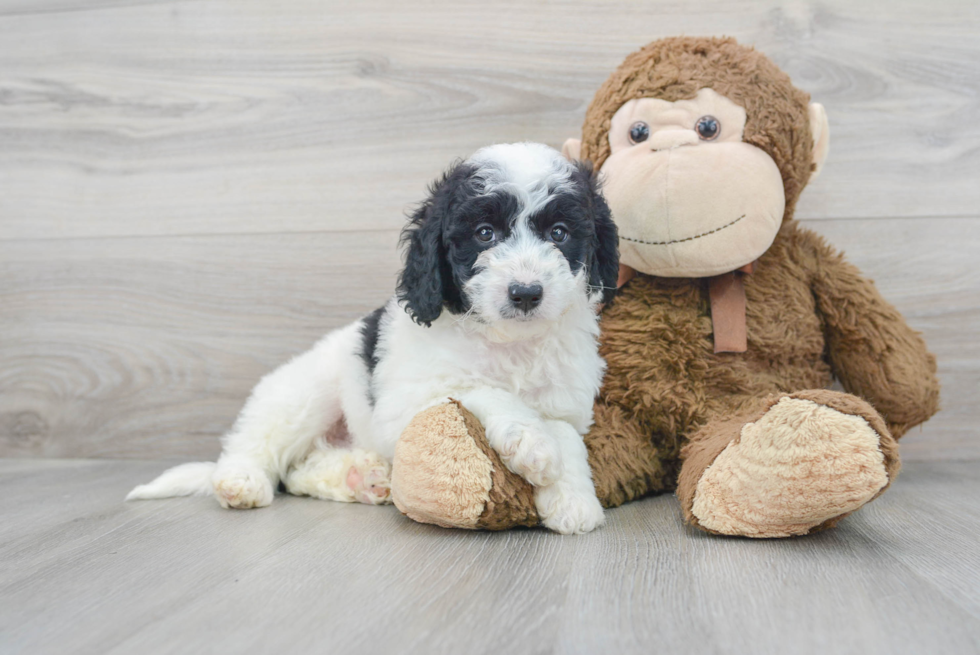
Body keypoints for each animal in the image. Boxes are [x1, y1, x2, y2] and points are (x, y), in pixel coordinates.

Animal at [128, 142, 620, 532]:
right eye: (485, 233)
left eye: (559, 233)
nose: (526, 293)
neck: (509, 344)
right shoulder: (409, 403)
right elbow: (481, 390)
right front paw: (530, 439)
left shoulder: (567, 402)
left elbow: (568, 438)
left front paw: (573, 501)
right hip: (304, 392)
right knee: (260, 442)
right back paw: (241, 480)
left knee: (301, 470)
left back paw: (362, 478)